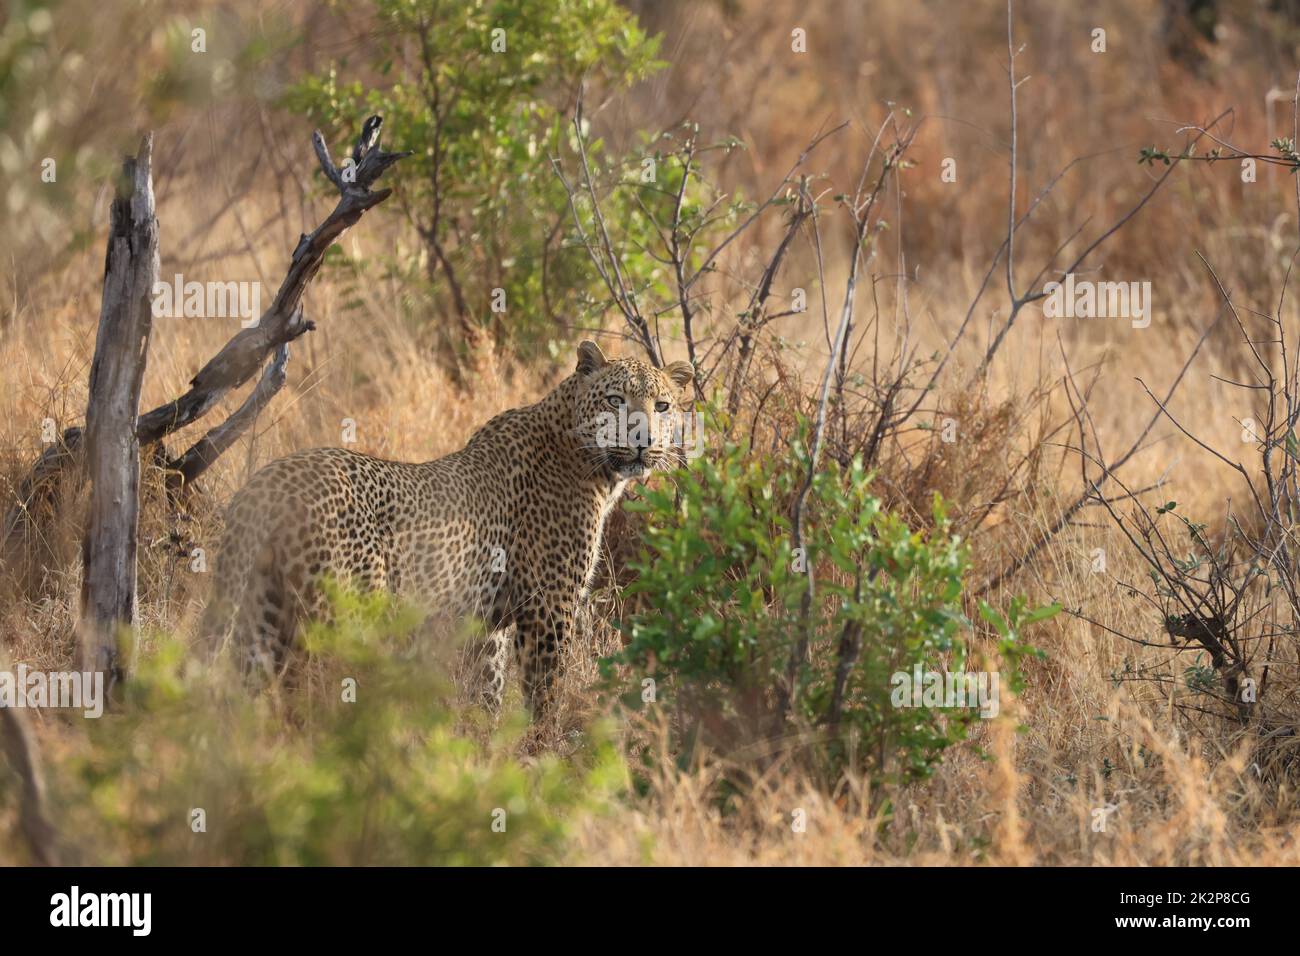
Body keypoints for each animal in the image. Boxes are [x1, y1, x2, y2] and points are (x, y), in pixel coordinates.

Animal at [198, 343, 696, 717]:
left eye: (663, 406)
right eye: (616, 400)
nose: (643, 440)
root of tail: (265, 483)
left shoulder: (489, 622)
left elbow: (488, 690)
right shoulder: (547, 607)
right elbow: (545, 694)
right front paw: (544, 754)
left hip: (258, 615)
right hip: (341, 620)